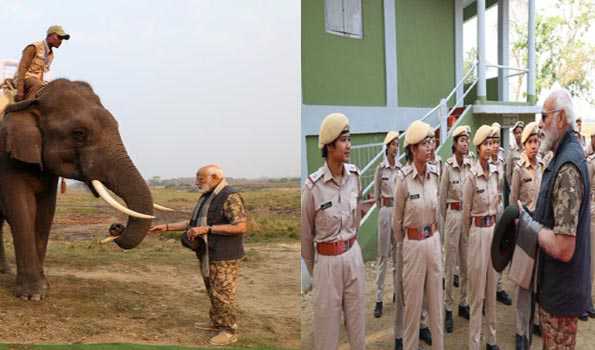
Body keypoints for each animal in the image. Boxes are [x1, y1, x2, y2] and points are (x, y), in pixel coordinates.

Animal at [0, 79, 158, 300]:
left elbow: (45, 212)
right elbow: (21, 210)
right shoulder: (7, 159)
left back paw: (4, 271)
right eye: (79, 134)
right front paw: (32, 295)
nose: (116, 227)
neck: (34, 100)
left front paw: (44, 287)